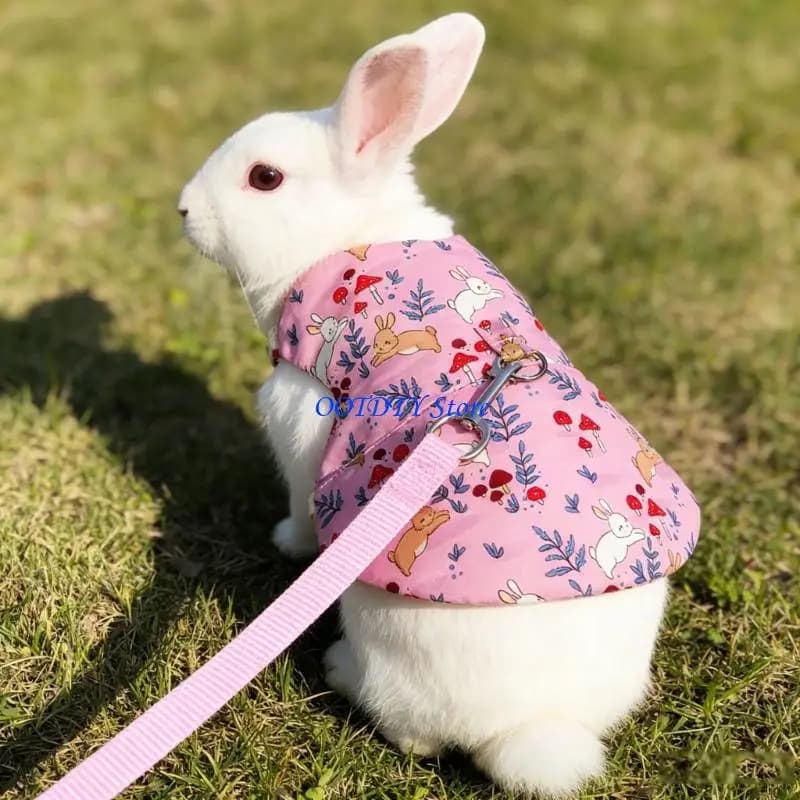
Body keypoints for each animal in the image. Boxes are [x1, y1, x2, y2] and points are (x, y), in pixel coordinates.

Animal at [179, 13, 670, 797]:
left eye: (265, 178)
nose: (185, 210)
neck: (345, 238)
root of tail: (534, 726)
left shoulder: (302, 420)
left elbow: (300, 502)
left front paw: (288, 543)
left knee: (413, 734)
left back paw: (339, 668)